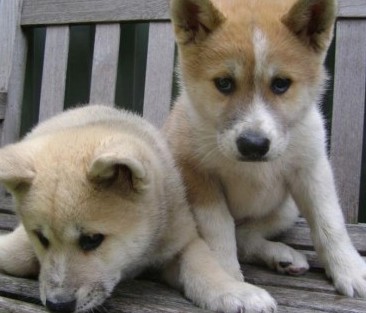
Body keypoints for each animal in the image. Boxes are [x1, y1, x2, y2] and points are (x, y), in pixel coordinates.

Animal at [0, 105, 276, 312]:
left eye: (92, 239)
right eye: (41, 238)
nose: (59, 306)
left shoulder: (183, 240)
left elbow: (202, 266)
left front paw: (234, 292)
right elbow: (14, 254)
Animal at [167, 0, 366, 298]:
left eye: (281, 84)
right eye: (224, 83)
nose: (253, 145)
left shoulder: (312, 169)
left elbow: (329, 223)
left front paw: (350, 270)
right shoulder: (198, 175)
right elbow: (219, 232)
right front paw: (228, 282)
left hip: (287, 209)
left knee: (246, 236)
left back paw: (283, 256)